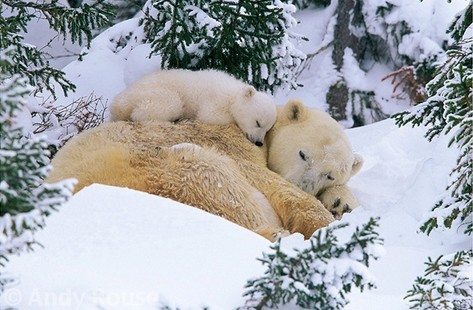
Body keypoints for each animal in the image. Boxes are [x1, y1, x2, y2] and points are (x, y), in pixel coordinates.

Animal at [47, 99, 362, 240]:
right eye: (302, 154)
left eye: (330, 174)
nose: (304, 183)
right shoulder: (231, 145)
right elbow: (274, 186)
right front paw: (327, 225)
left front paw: (340, 202)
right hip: (158, 166)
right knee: (220, 185)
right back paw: (274, 234)